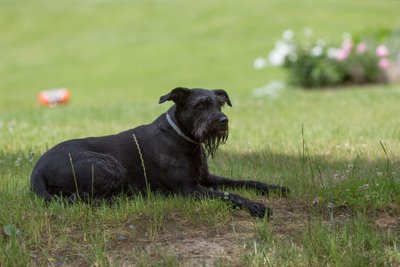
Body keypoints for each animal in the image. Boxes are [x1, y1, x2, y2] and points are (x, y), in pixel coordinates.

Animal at [30, 88, 288, 218]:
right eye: (201, 105)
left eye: (220, 103)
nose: (223, 121)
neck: (183, 137)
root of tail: (37, 170)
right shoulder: (190, 189)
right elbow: (229, 195)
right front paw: (255, 206)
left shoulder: (207, 179)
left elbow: (244, 182)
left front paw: (274, 188)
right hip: (108, 165)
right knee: (78, 198)